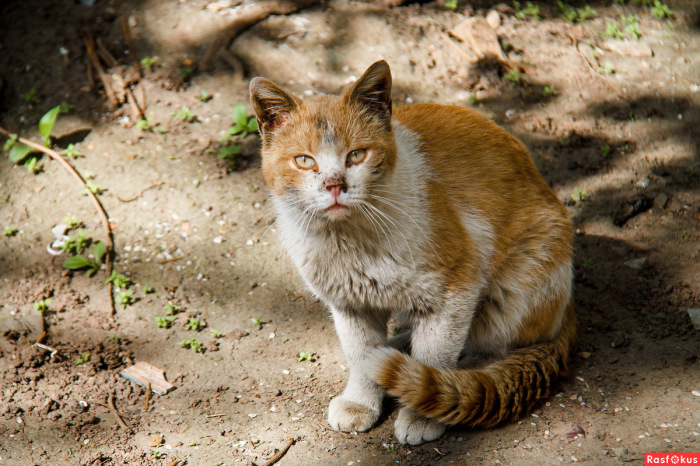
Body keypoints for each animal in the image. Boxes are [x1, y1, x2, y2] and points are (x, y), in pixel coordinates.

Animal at [249, 60, 576, 446]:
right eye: (303, 161)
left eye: (356, 155)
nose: (334, 185)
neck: (348, 241)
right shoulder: (349, 304)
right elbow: (360, 355)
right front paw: (361, 402)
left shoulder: (455, 291)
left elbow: (433, 358)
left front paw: (424, 412)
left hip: (515, 286)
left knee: (492, 350)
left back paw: (455, 381)